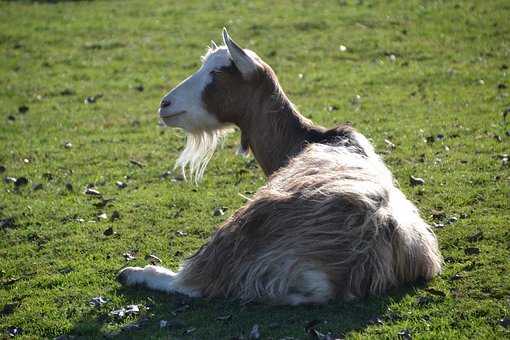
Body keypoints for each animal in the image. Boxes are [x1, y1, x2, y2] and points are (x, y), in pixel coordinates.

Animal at [116, 29, 442, 306]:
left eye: (216, 72)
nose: (165, 104)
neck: (308, 140)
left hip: (241, 231)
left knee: (194, 282)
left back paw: (138, 273)